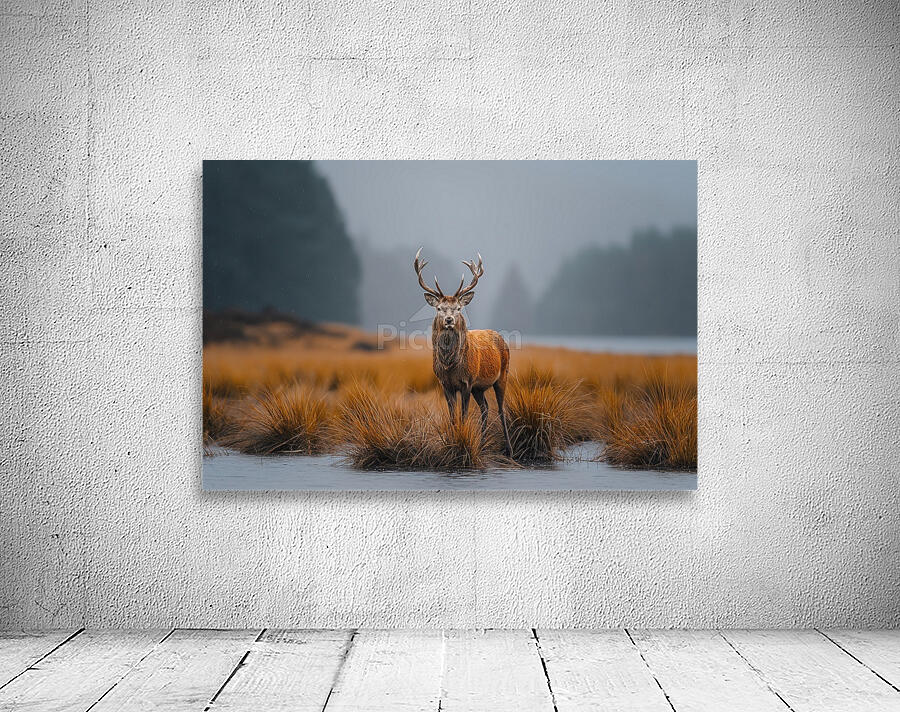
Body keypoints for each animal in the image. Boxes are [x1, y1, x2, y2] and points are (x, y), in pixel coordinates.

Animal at [414, 248, 513, 456]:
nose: (449, 320)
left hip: (502, 375)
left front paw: (462, 443)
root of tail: (501, 337)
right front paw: (452, 442)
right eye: (439, 308)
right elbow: (453, 417)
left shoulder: (467, 381)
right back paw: (482, 445)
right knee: (485, 408)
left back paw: (509, 449)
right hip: (479, 387)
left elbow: (464, 415)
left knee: (501, 409)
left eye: (458, 308)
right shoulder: (445, 384)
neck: (451, 365)